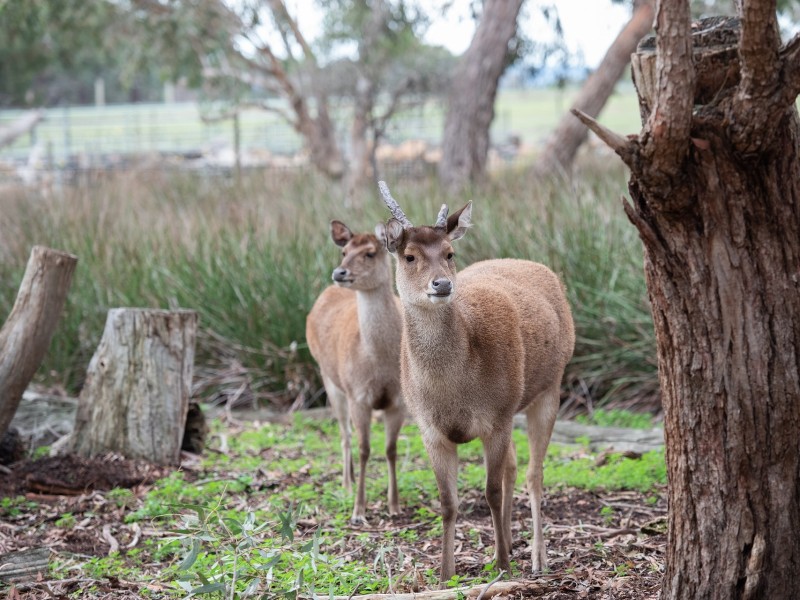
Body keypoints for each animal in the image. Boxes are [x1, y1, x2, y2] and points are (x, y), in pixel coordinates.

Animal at [305, 219, 405, 524]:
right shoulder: (358, 395)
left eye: (370, 253)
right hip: (329, 380)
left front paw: (394, 505)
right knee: (345, 434)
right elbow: (364, 449)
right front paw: (359, 510)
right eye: (344, 252)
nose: (340, 272)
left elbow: (390, 450)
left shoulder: (399, 401)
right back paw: (347, 485)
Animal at [377, 181, 575, 581]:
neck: (454, 390)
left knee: (533, 473)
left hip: (550, 386)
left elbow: (491, 491)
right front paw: (445, 572)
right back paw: (513, 544)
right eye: (409, 256)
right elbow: (447, 502)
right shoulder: (429, 428)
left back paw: (537, 557)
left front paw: (501, 566)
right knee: (515, 467)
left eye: (449, 253)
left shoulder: (496, 417)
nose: (441, 284)